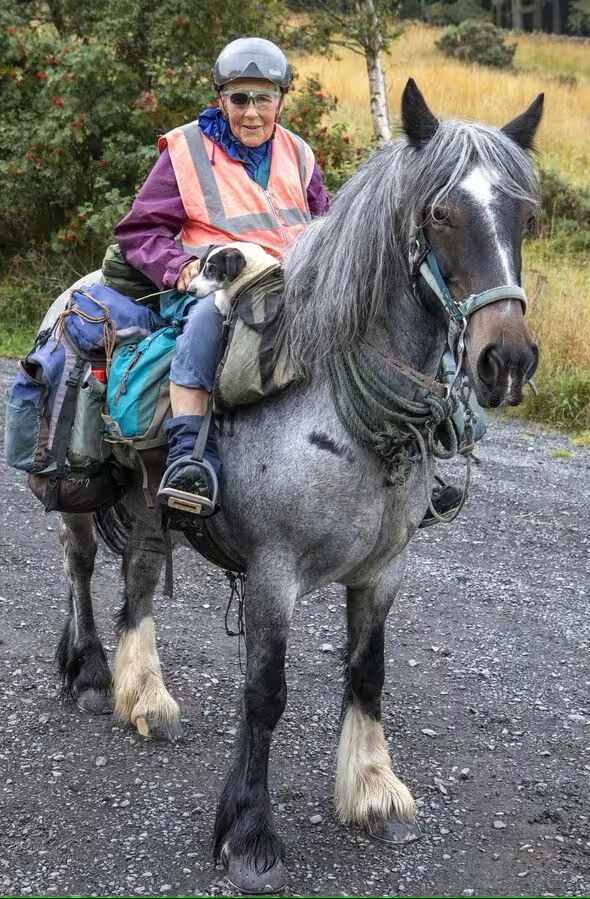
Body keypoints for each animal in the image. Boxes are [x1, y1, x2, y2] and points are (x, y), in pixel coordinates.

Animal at [53, 82, 544, 892]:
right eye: (441, 214)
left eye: (523, 214)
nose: (506, 359)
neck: (340, 414)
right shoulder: (272, 573)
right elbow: (267, 693)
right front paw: (250, 835)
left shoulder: (384, 571)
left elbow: (369, 674)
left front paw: (374, 792)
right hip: (78, 497)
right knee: (83, 567)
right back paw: (92, 673)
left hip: (150, 506)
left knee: (141, 580)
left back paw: (145, 695)